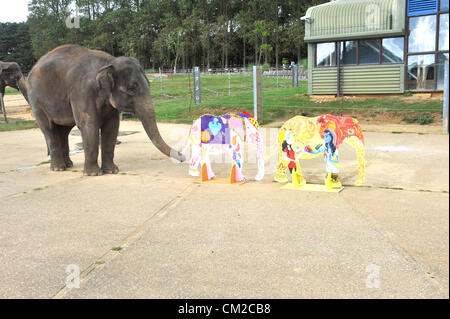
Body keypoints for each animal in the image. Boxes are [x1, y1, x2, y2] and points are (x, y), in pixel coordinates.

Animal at [25, 44, 185, 175]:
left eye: (149, 85)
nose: (183, 157)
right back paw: (58, 168)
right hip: (37, 102)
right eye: (132, 89)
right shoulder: (82, 92)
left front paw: (112, 171)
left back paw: (69, 165)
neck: (108, 62)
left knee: (64, 130)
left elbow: (112, 127)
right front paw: (93, 174)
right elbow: (89, 126)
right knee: (49, 128)